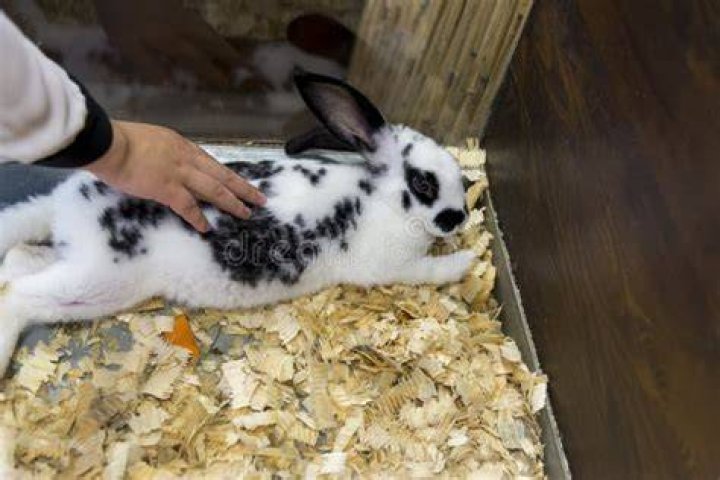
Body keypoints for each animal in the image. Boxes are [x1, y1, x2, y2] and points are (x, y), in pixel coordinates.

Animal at [0, 71, 474, 375]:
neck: (379, 199)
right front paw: (466, 261)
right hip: (97, 284)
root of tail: (66, 209)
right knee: (18, 296)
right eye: (423, 182)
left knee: (17, 261)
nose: (460, 217)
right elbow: (431, 271)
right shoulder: (392, 267)